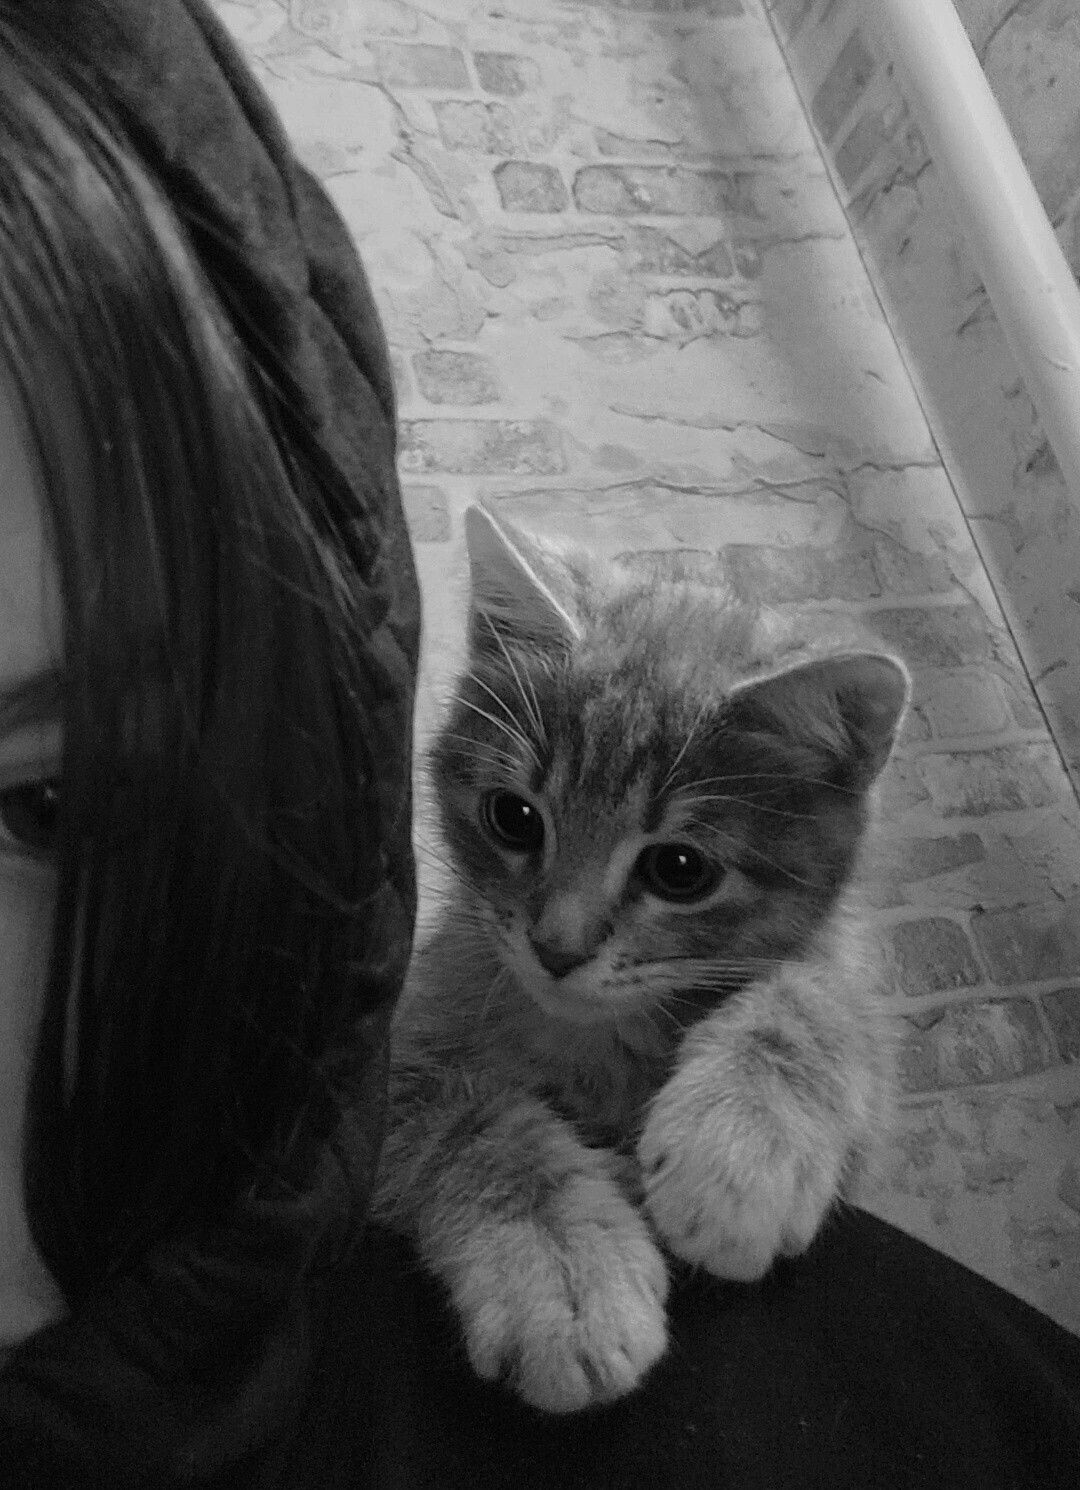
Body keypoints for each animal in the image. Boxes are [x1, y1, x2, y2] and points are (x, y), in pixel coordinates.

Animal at [373, 503, 909, 1414]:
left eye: (679, 870)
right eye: (514, 817)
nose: (556, 947)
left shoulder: (841, 977)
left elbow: (820, 992)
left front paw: (742, 1147)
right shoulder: (387, 1074)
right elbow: (474, 1124)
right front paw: (562, 1271)